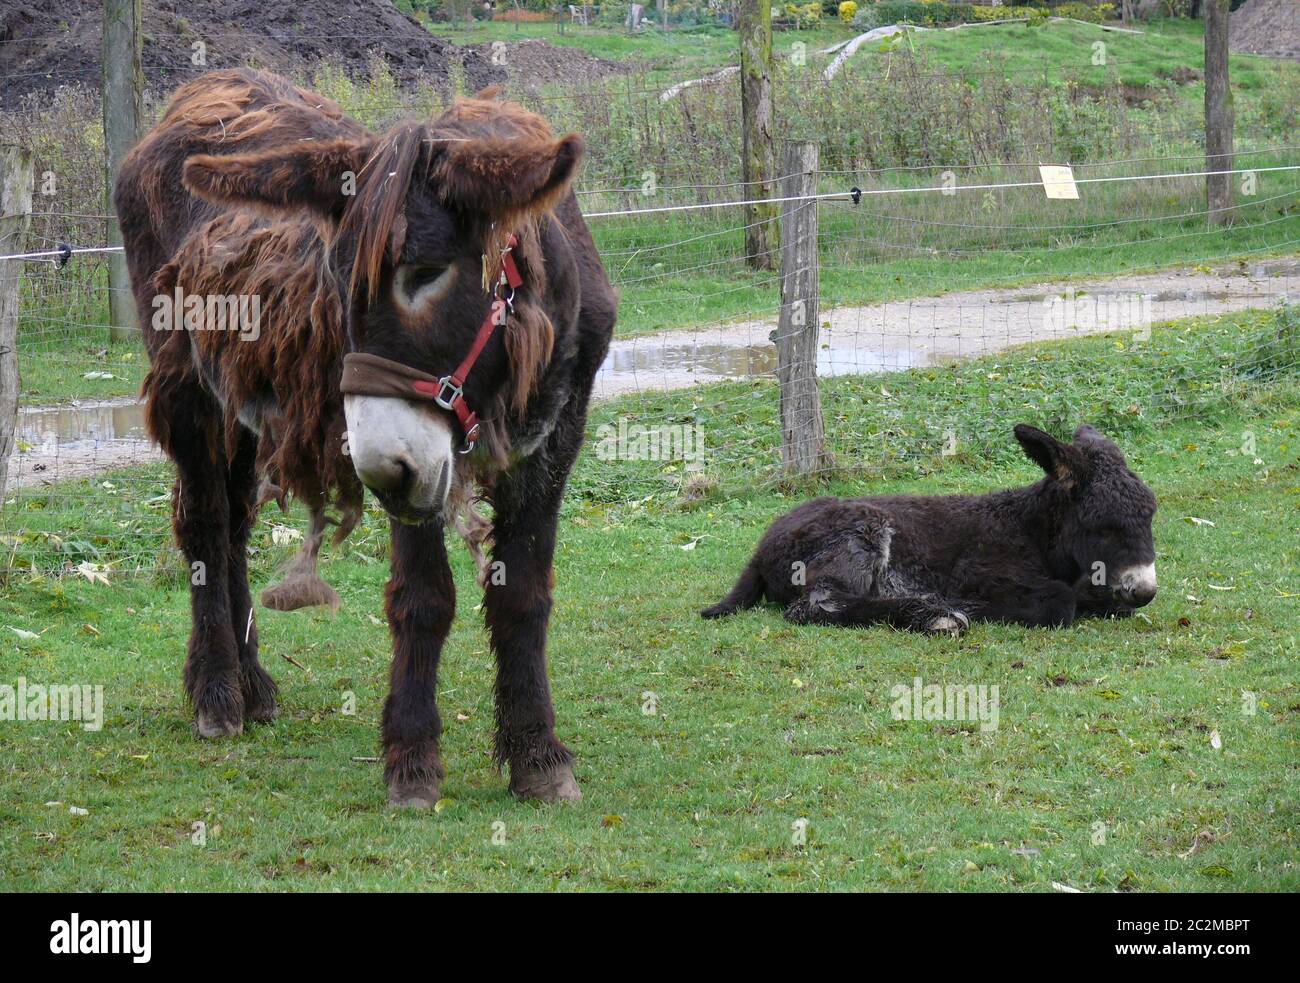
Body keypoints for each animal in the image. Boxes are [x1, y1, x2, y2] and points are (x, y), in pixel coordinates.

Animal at [702, 426, 1159, 634]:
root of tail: (762, 548)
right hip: (860, 534)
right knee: (817, 605)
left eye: (1150, 515)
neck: (1031, 531)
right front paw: (960, 607)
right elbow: (1060, 603)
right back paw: (933, 615)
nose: (1144, 591)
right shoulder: (979, 573)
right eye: (1103, 525)